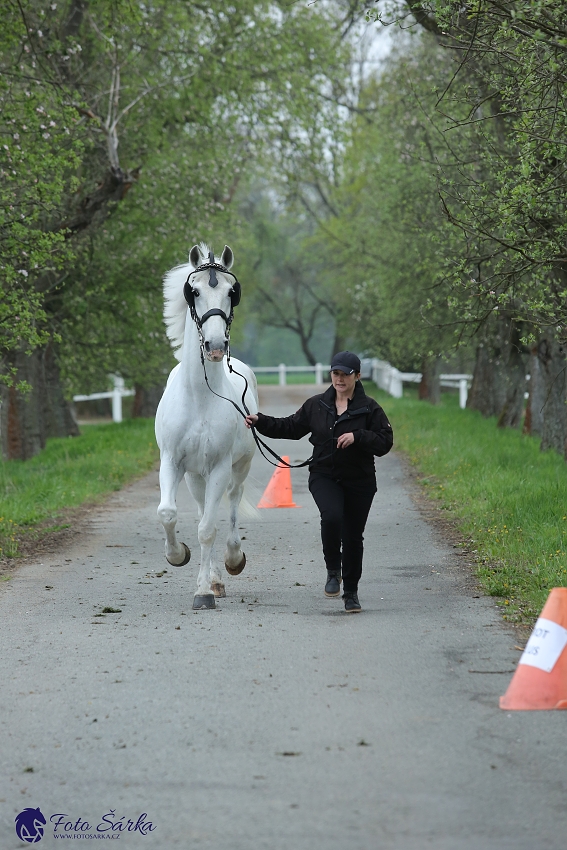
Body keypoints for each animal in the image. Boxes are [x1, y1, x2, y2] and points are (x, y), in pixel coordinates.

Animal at [158, 242, 260, 608]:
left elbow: (208, 529)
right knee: (204, 509)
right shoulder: (172, 462)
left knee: (228, 507)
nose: (215, 347)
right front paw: (177, 555)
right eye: (195, 291)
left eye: (232, 291)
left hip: (238, 468)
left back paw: (230, 561)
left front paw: (203, 593)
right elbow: (168, 513)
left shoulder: (219, 467)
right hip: (194, 476)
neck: (200, 396)